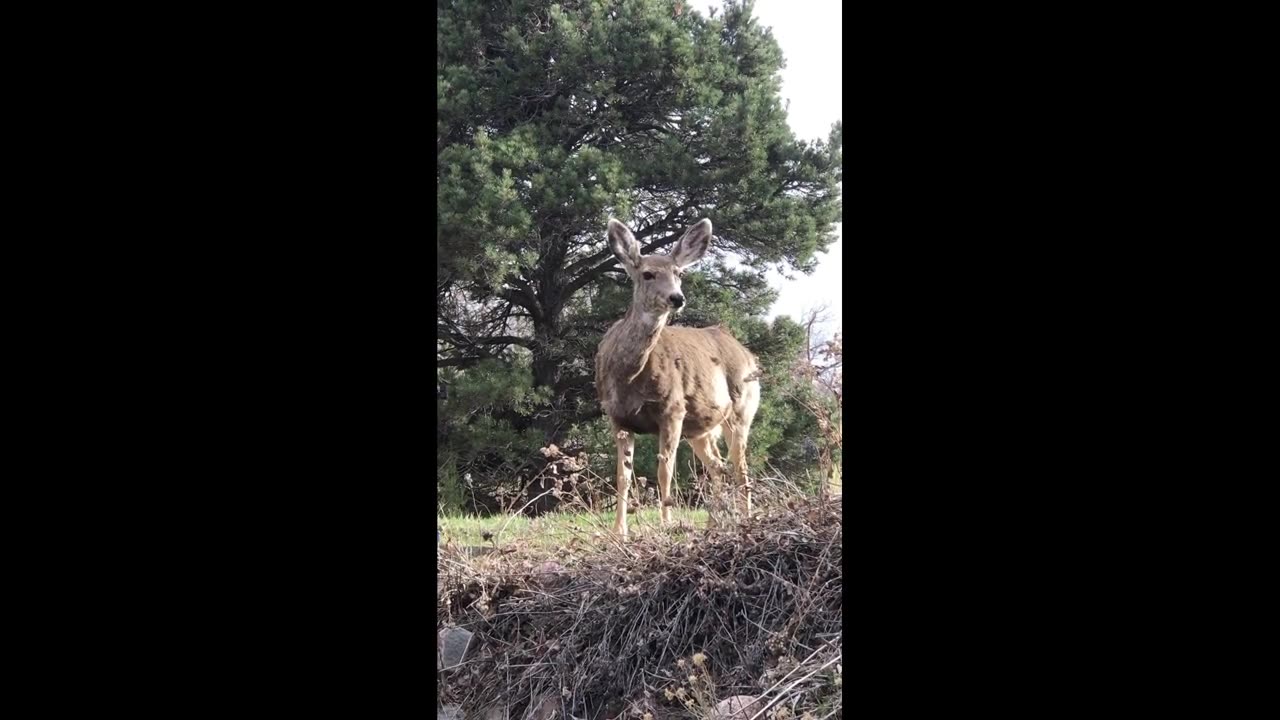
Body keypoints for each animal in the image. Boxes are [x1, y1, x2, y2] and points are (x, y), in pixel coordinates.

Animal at [596, 215, 762, 535]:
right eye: (647, 274)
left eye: (679, 273)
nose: (677, 298)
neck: (629, 377)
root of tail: (749, 354)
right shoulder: (617, 417)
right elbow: (622, 476)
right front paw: (619, 531)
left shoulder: (673, 409)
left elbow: (664, 470)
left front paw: (666, 524)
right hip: (701, 427)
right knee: (718, 466)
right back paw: (714, 523)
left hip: (741, 410)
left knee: (741, 468)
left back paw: (745, 519)